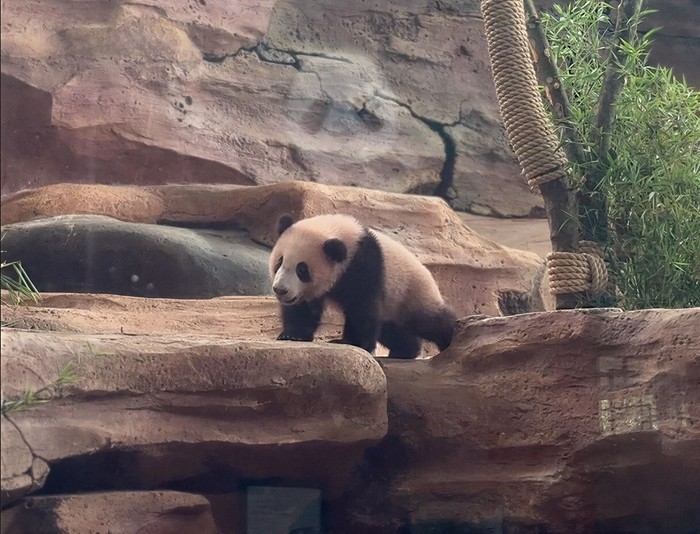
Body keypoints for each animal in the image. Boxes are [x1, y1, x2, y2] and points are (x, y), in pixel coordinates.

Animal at [269, 213, 456, 359]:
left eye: (302, 269)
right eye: (279, 261)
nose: (280, 290)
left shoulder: (363, 265)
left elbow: (361, 306)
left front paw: (353, 343)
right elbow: (304, 309)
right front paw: (293, 335)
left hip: (412, 294)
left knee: (431, 322)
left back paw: (452, 338)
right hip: (393, 308)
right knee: (392, 329)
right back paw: (406, 350)